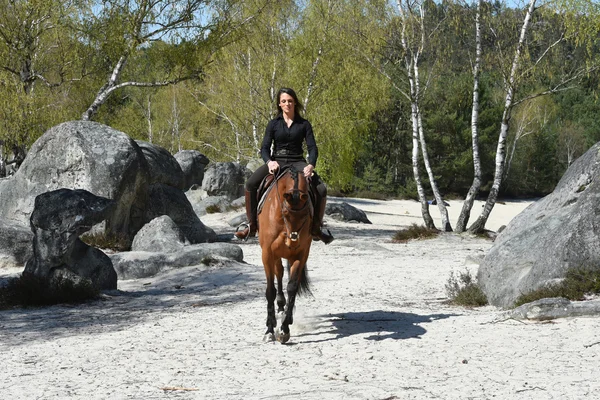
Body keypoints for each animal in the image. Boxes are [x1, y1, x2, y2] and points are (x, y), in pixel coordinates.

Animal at [258, 166, 314, 344]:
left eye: (306, 214)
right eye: (284, 212)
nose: (293, 242)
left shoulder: (301, 255)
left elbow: (292, 288)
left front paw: (284, 329)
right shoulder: (267, 254)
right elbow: (270, 290)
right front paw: (269, 329)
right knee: (279, 273)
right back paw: (280, 309)